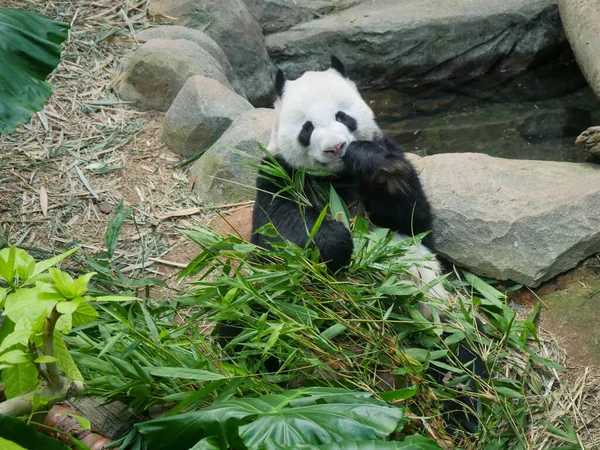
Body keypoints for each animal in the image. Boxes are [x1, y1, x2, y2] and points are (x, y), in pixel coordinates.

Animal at [250, 57, 446, 302]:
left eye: (341, 116)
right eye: (307, 127)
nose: (335, 147)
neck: (336, 176)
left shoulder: (386, 150)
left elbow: (413, 218)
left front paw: (368, 161)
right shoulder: (277, 172)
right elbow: (276, 228)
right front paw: (338, 241)